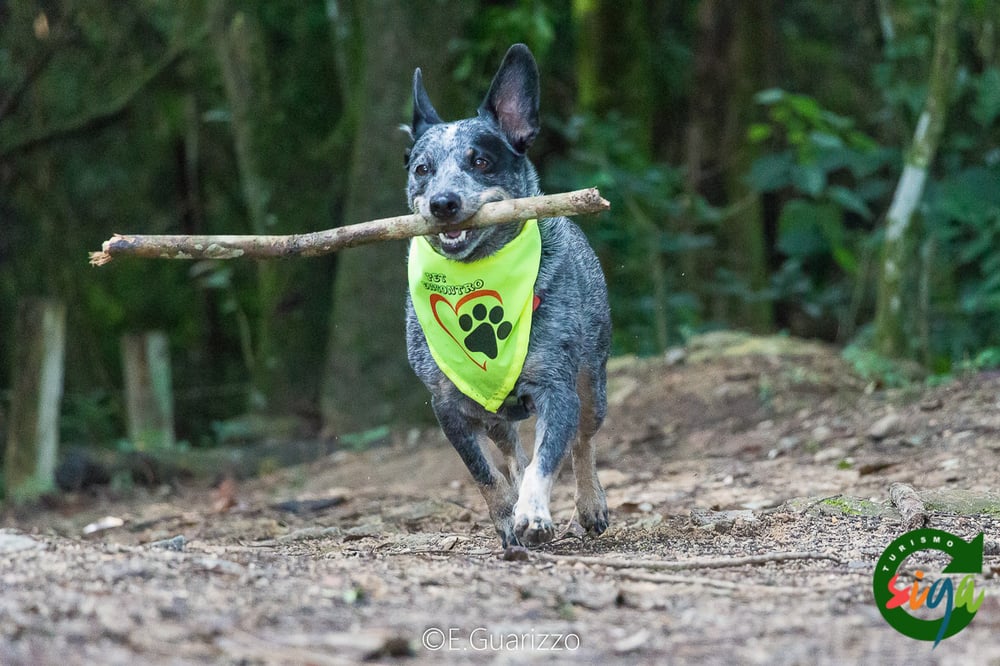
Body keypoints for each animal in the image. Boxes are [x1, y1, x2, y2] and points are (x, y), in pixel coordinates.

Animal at [400, 44, 608, 548]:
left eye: (480, 161)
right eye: (422, 169)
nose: (443, 203)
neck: (477, 275)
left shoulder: (557, 389)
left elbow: (548, 460)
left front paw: (532, 513)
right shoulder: (447, 406)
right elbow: (484, 472)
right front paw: (505, 516)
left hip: (593, 382)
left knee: (583, 441)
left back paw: (590, 504)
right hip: (492, 411)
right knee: (510, 449)